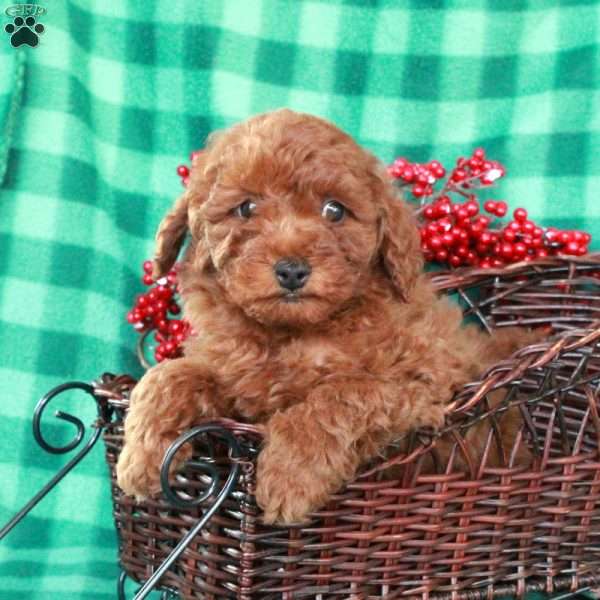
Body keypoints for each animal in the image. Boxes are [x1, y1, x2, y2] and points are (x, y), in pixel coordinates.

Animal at [115, 109, 536, 524]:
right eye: (246, 207)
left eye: (334, 210)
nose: (292, 270)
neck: (292, 333)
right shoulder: (234, 376)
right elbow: (172, 374)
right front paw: (139, 457)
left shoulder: (425, 380)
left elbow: (341, 393)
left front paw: (289, 478)